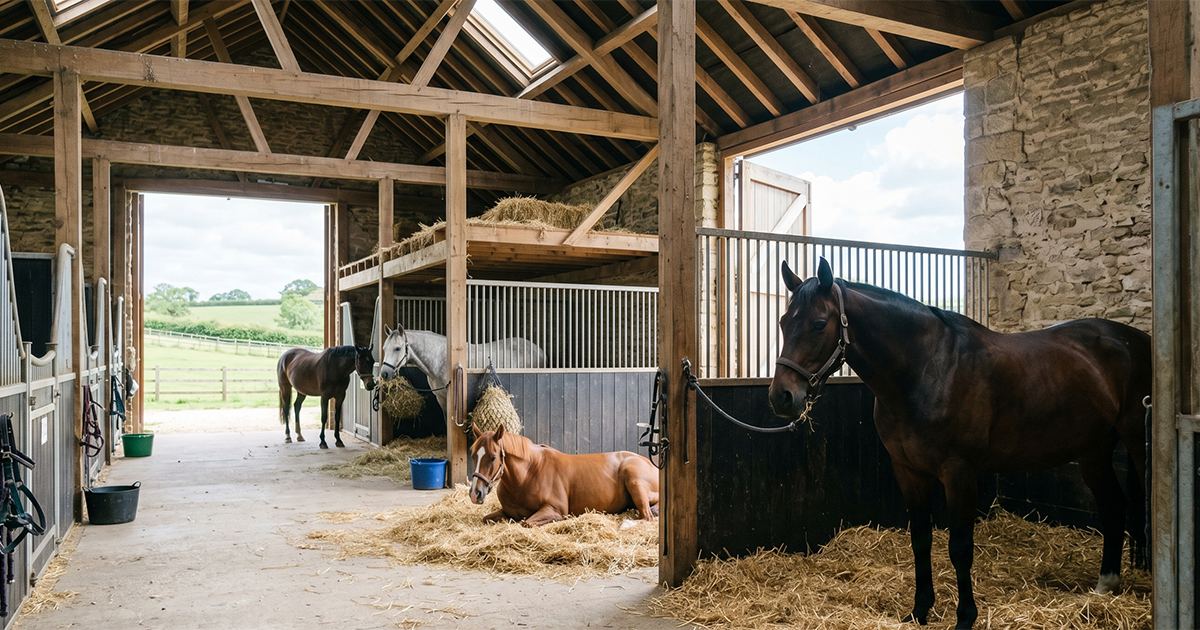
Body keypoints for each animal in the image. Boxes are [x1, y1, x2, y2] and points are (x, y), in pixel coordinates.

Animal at [376, 325, 547, 415]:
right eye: (384, 348)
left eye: (397, 348)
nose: (384, 373)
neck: (440, 358)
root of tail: (539, 350)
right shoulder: (441, 397)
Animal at [468, 425, 660, 527]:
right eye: (473, 455)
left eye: (493, 457)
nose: (475, 494)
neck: (528, 475)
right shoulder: (507, 512)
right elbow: (486, 519)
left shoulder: (555, 510)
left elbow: (527, 523)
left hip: (633, 478)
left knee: (647, 516)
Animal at [768, 258, 1149, 630]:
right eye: (785, 322)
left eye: (819, 324)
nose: (781, 396)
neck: (926, 370)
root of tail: (1136, 339)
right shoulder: (908, 471)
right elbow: (921, 540)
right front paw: (919, 611)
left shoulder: (959, 473)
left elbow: (960, 547)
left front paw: (965, 617)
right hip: (1093, 450)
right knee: (1113, 505)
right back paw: (1105, 585)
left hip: (1135, 441)